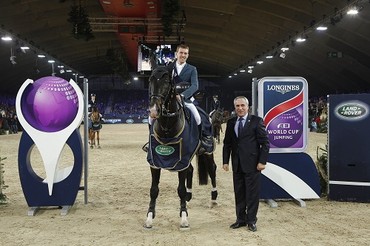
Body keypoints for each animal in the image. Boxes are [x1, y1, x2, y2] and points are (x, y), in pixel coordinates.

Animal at [144, 64, 217, 230]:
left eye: (167, 83)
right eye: (150, 80)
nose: (153, 110)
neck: (167, 127)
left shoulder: (181, 161)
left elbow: (181, 190)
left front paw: (184, 218)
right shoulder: (154, 161)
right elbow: (154, 190)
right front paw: (149, 218)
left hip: (207, 152)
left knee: (212, 169)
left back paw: (213, 199)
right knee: (191, 170)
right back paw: (190, 198)